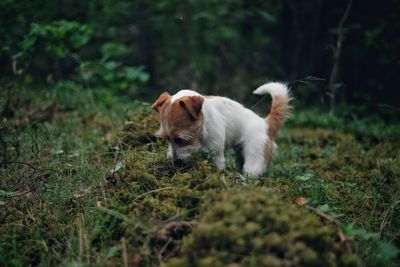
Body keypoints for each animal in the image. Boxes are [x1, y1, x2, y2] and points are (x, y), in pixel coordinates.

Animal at [152, 82, 292, 177]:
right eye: (167, 139)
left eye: (180, 139)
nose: (175, 162)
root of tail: (265, 124)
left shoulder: (216, 155)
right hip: (240, 153)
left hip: (254, 158)